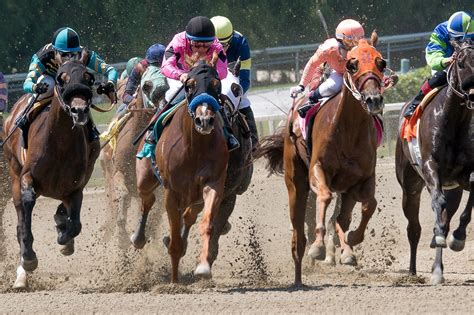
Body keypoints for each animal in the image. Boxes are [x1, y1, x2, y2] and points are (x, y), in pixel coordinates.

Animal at [2, 56, 100, 288]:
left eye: (88, 77)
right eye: (61, 79)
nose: (79, 111)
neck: (60, 144)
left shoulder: (75, 188)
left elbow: (75, 225)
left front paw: (64, 236)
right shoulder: (27, 177)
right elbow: (26, 211)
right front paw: (28, 258)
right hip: (13, 172)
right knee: (20, 219)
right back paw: (22, 273)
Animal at [258, 34, 386, 286]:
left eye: (381, 62)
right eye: (352, 64)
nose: (373, 99)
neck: (349, 128)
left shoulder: (363, 178)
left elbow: (369, 204)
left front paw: (352, 240)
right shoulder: (318, 169)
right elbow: (324, 198)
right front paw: (318, 247)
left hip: (346, 189)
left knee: (341, 217)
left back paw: (345, 251)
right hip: (295, 180)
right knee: (299, 225)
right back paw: (300, 271)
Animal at [394, 38, 472, 286]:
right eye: (461, 63)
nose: (473, 94)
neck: (455, 121)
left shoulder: (463, 175)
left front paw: (458, 237)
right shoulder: (431, 167)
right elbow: (438, 203)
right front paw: (438, 236)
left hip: (452, 188)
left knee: (446, 218)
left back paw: (438, 268)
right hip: (410, 186)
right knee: (414, 228)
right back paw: (413, 271)